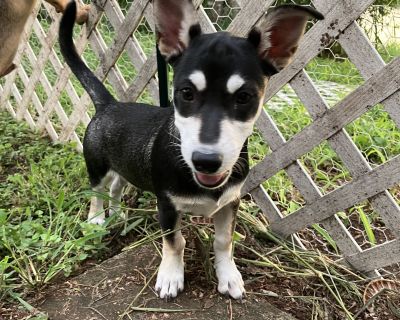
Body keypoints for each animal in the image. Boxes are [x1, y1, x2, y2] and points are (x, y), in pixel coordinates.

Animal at [58, 0, 322, 300]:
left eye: (244, 97)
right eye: (186, 93)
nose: (206, 161)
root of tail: (109, 104)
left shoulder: (230, 202)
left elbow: (224, 240)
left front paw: (228, 275)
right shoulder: (167, 205)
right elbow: (175, 242)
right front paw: (171, 277)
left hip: (125, 167)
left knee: (115, 187)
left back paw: (116, 213)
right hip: (97, 165)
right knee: (97, 191)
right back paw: (96, 220)